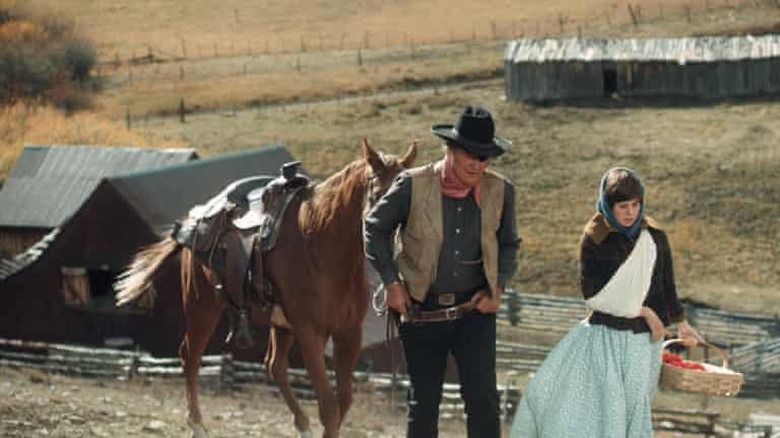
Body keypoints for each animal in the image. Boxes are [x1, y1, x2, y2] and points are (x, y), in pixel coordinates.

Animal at [114, 140, 414, 438]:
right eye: (380, 194)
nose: (397, 244)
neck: (320, 245)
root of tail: (194, 219)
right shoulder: (310, 334)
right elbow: (329, 408)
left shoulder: (349, 335)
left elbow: (343, 403)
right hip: (202, 306)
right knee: (190, 355)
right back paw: (197, 424)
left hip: (279, 325)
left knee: (275, 365)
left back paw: (301, 425)